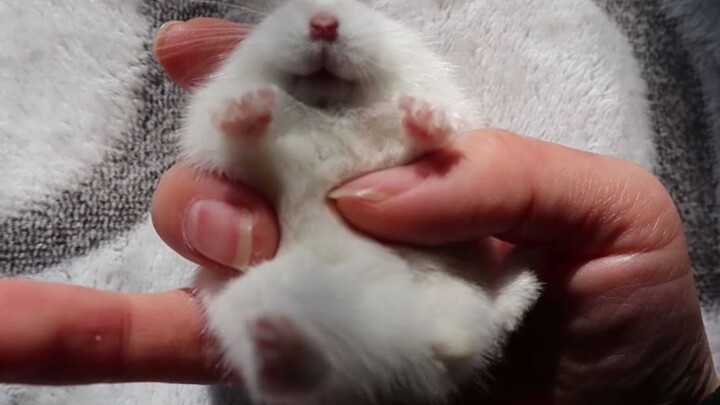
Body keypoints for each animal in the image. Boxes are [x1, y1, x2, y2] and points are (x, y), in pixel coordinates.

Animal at [181, 0, 541, 403]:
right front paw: (248, 105)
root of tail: (405, 354)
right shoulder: (227, 149)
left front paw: (424, 113)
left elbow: (421, 139)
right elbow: (241, 138)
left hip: (457, 304)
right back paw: (275, 339)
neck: (330, 107)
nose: (323, 23)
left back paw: (525, 273)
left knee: (491, 325)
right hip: (244, 305)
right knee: (298, 379)